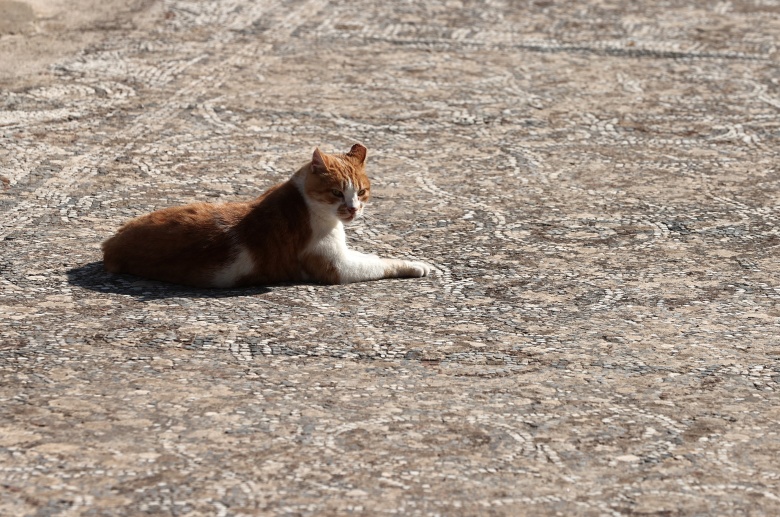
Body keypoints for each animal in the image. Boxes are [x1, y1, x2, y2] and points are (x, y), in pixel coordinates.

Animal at [99, 144, 432, 286]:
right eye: (337, 193)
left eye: (361, 192)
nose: (353, 208)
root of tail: (111, 244)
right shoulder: (337, 266)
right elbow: (381, 263)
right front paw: (417, 265)